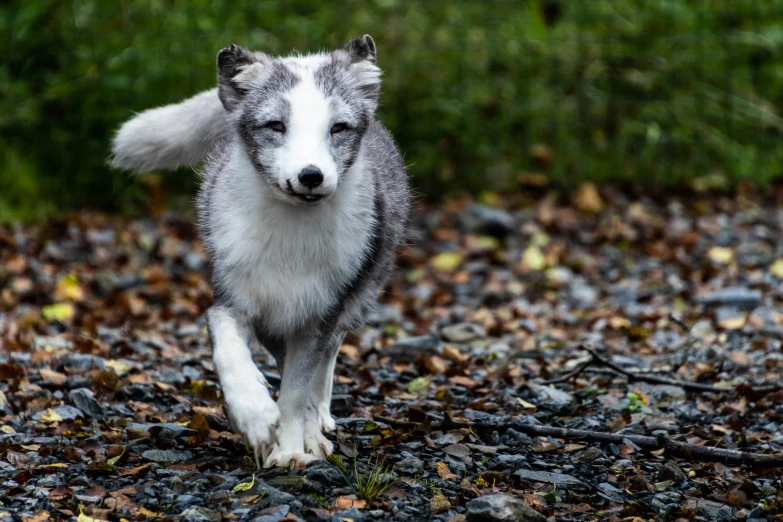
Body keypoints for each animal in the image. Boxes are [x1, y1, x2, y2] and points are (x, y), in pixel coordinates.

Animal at [115, 36, 416, 468]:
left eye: (338, 128)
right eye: (276, 125)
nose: (311, 176)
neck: (290, 241)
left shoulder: (315, 319)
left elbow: (294, 393)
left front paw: (291, 448)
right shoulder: (232, 302)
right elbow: (231, 356)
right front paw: (255, 417)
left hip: (354, 301)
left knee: (325, 365)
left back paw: (318, 428)